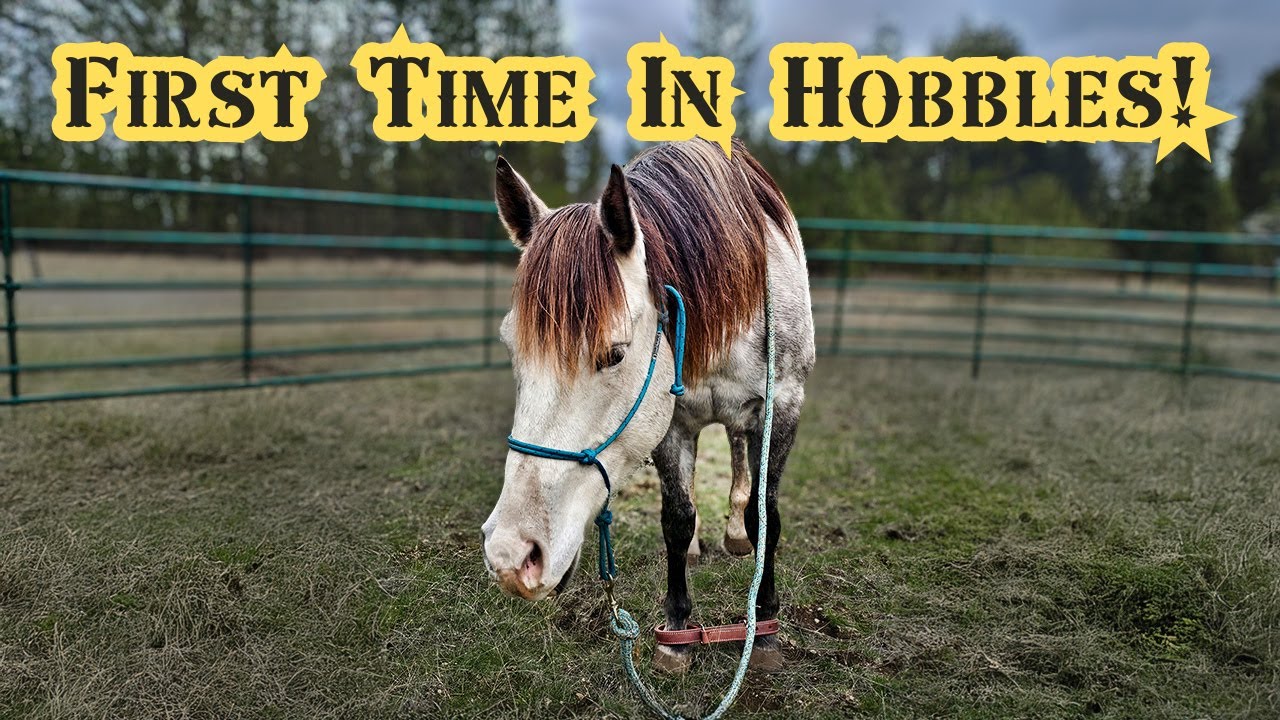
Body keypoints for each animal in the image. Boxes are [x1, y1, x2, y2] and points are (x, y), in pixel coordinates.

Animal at [481, 137, 815, 673]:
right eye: (512, 347)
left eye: (614, 353)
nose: (511, 554)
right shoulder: (669, 424)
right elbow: (676, 520)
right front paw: (676, 633)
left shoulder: (782, 406)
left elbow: (767, 516)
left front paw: (763, 628)